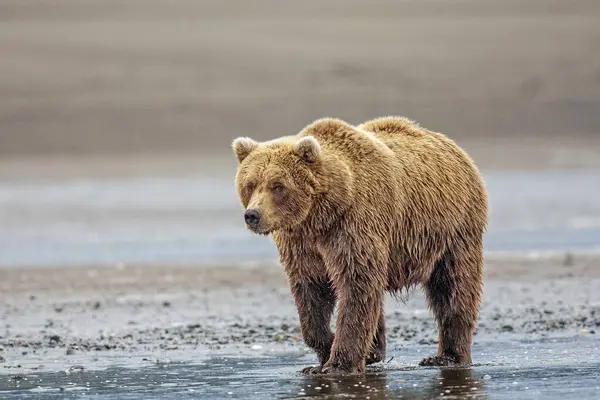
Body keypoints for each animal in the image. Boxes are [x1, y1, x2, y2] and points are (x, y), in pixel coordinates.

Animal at [230, 115, 488, 376]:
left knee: (453, 286)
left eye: (278, 185)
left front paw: (338, 364)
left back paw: (447, 356)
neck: (321, 215)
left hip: (454, 228)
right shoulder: (302, 245)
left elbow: (356, 284)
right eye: (250, 184)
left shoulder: (354, 225)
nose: (253, 215)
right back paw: (375, 350)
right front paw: (323, 354)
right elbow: (311, 292)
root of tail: (454, 147)